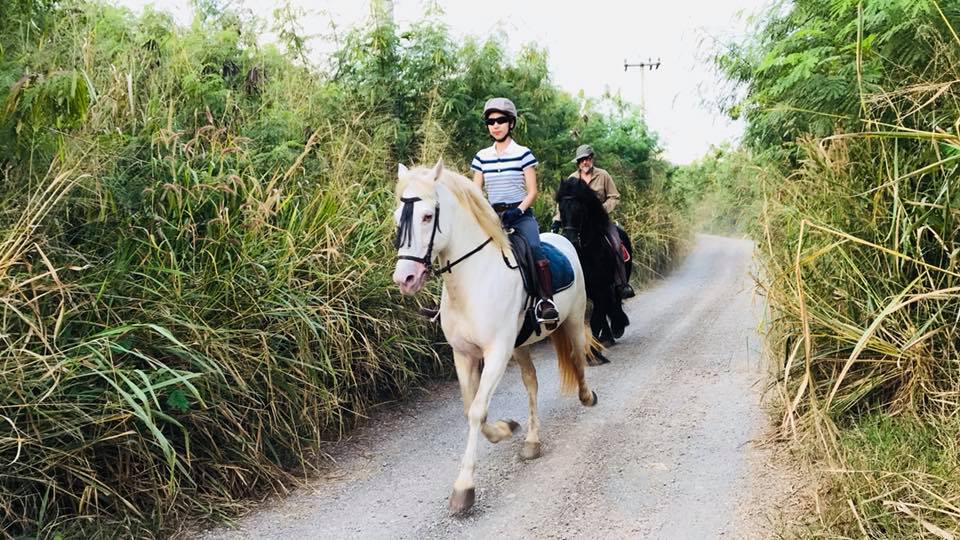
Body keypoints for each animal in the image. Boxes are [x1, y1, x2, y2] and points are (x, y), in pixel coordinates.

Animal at [392, 160, 598, 515]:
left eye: (428, 216)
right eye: (397, 217)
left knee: (577, 357)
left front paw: (464, 488)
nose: (405, 278)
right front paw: (505, 429)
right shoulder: (464, 355)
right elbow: (472, 408)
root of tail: (562, 240)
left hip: (571, 318)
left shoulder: (497, 353)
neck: (473, 281)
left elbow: (476, 410)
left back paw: (587, 396)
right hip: (521, 346)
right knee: (532, 382)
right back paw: (531, 441)